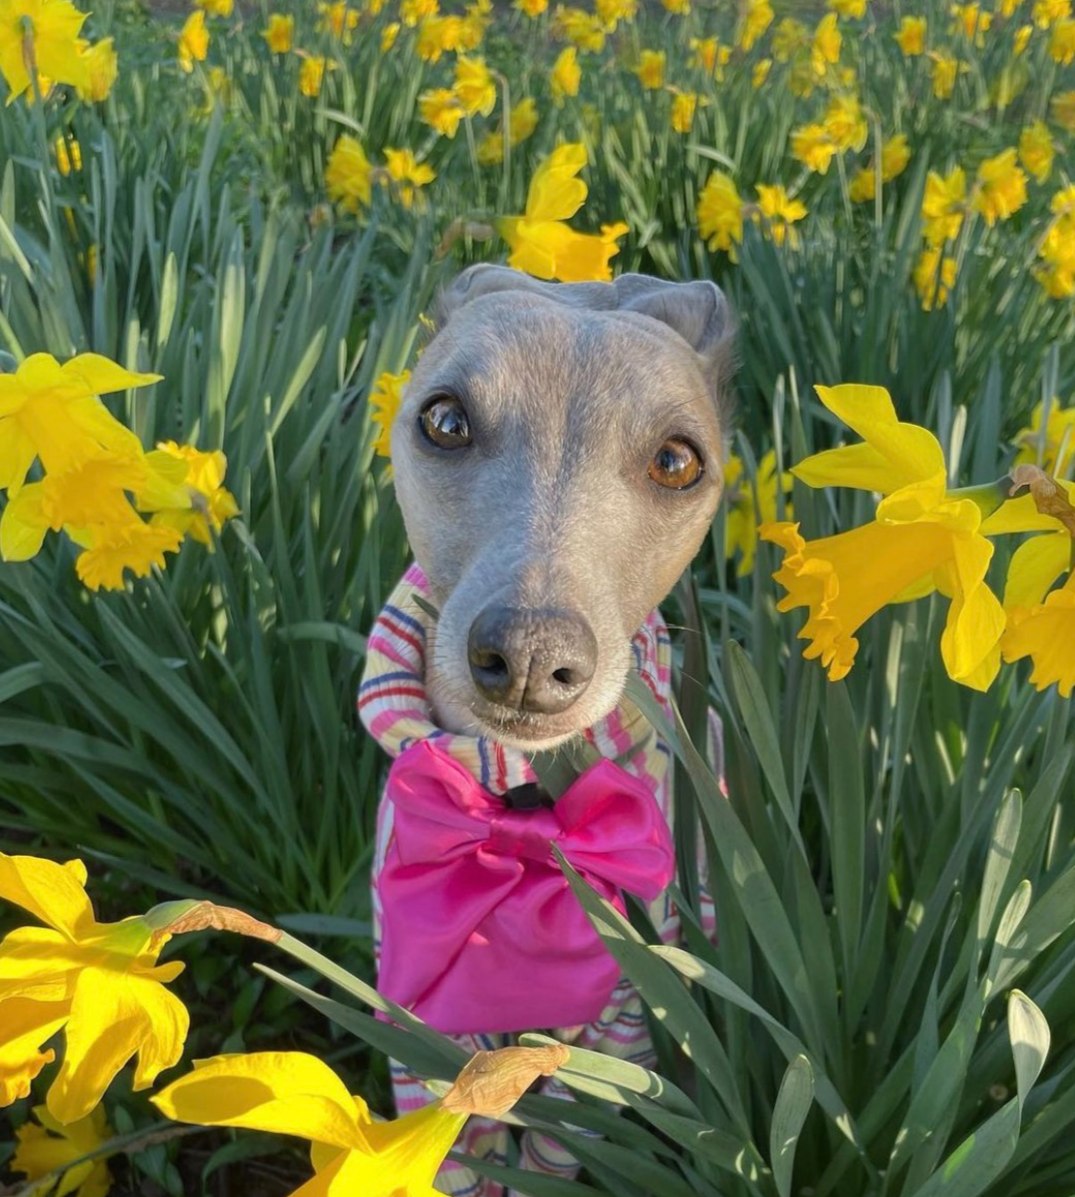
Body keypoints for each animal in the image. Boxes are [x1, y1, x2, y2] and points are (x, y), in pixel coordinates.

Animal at [359, 269, 727, 1197]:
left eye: (677, 460)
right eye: (445, 420)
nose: (529, 654)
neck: (520, 806)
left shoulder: (621, 1028)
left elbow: (559, 1147)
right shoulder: (417, 1026)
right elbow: (458, 1150)